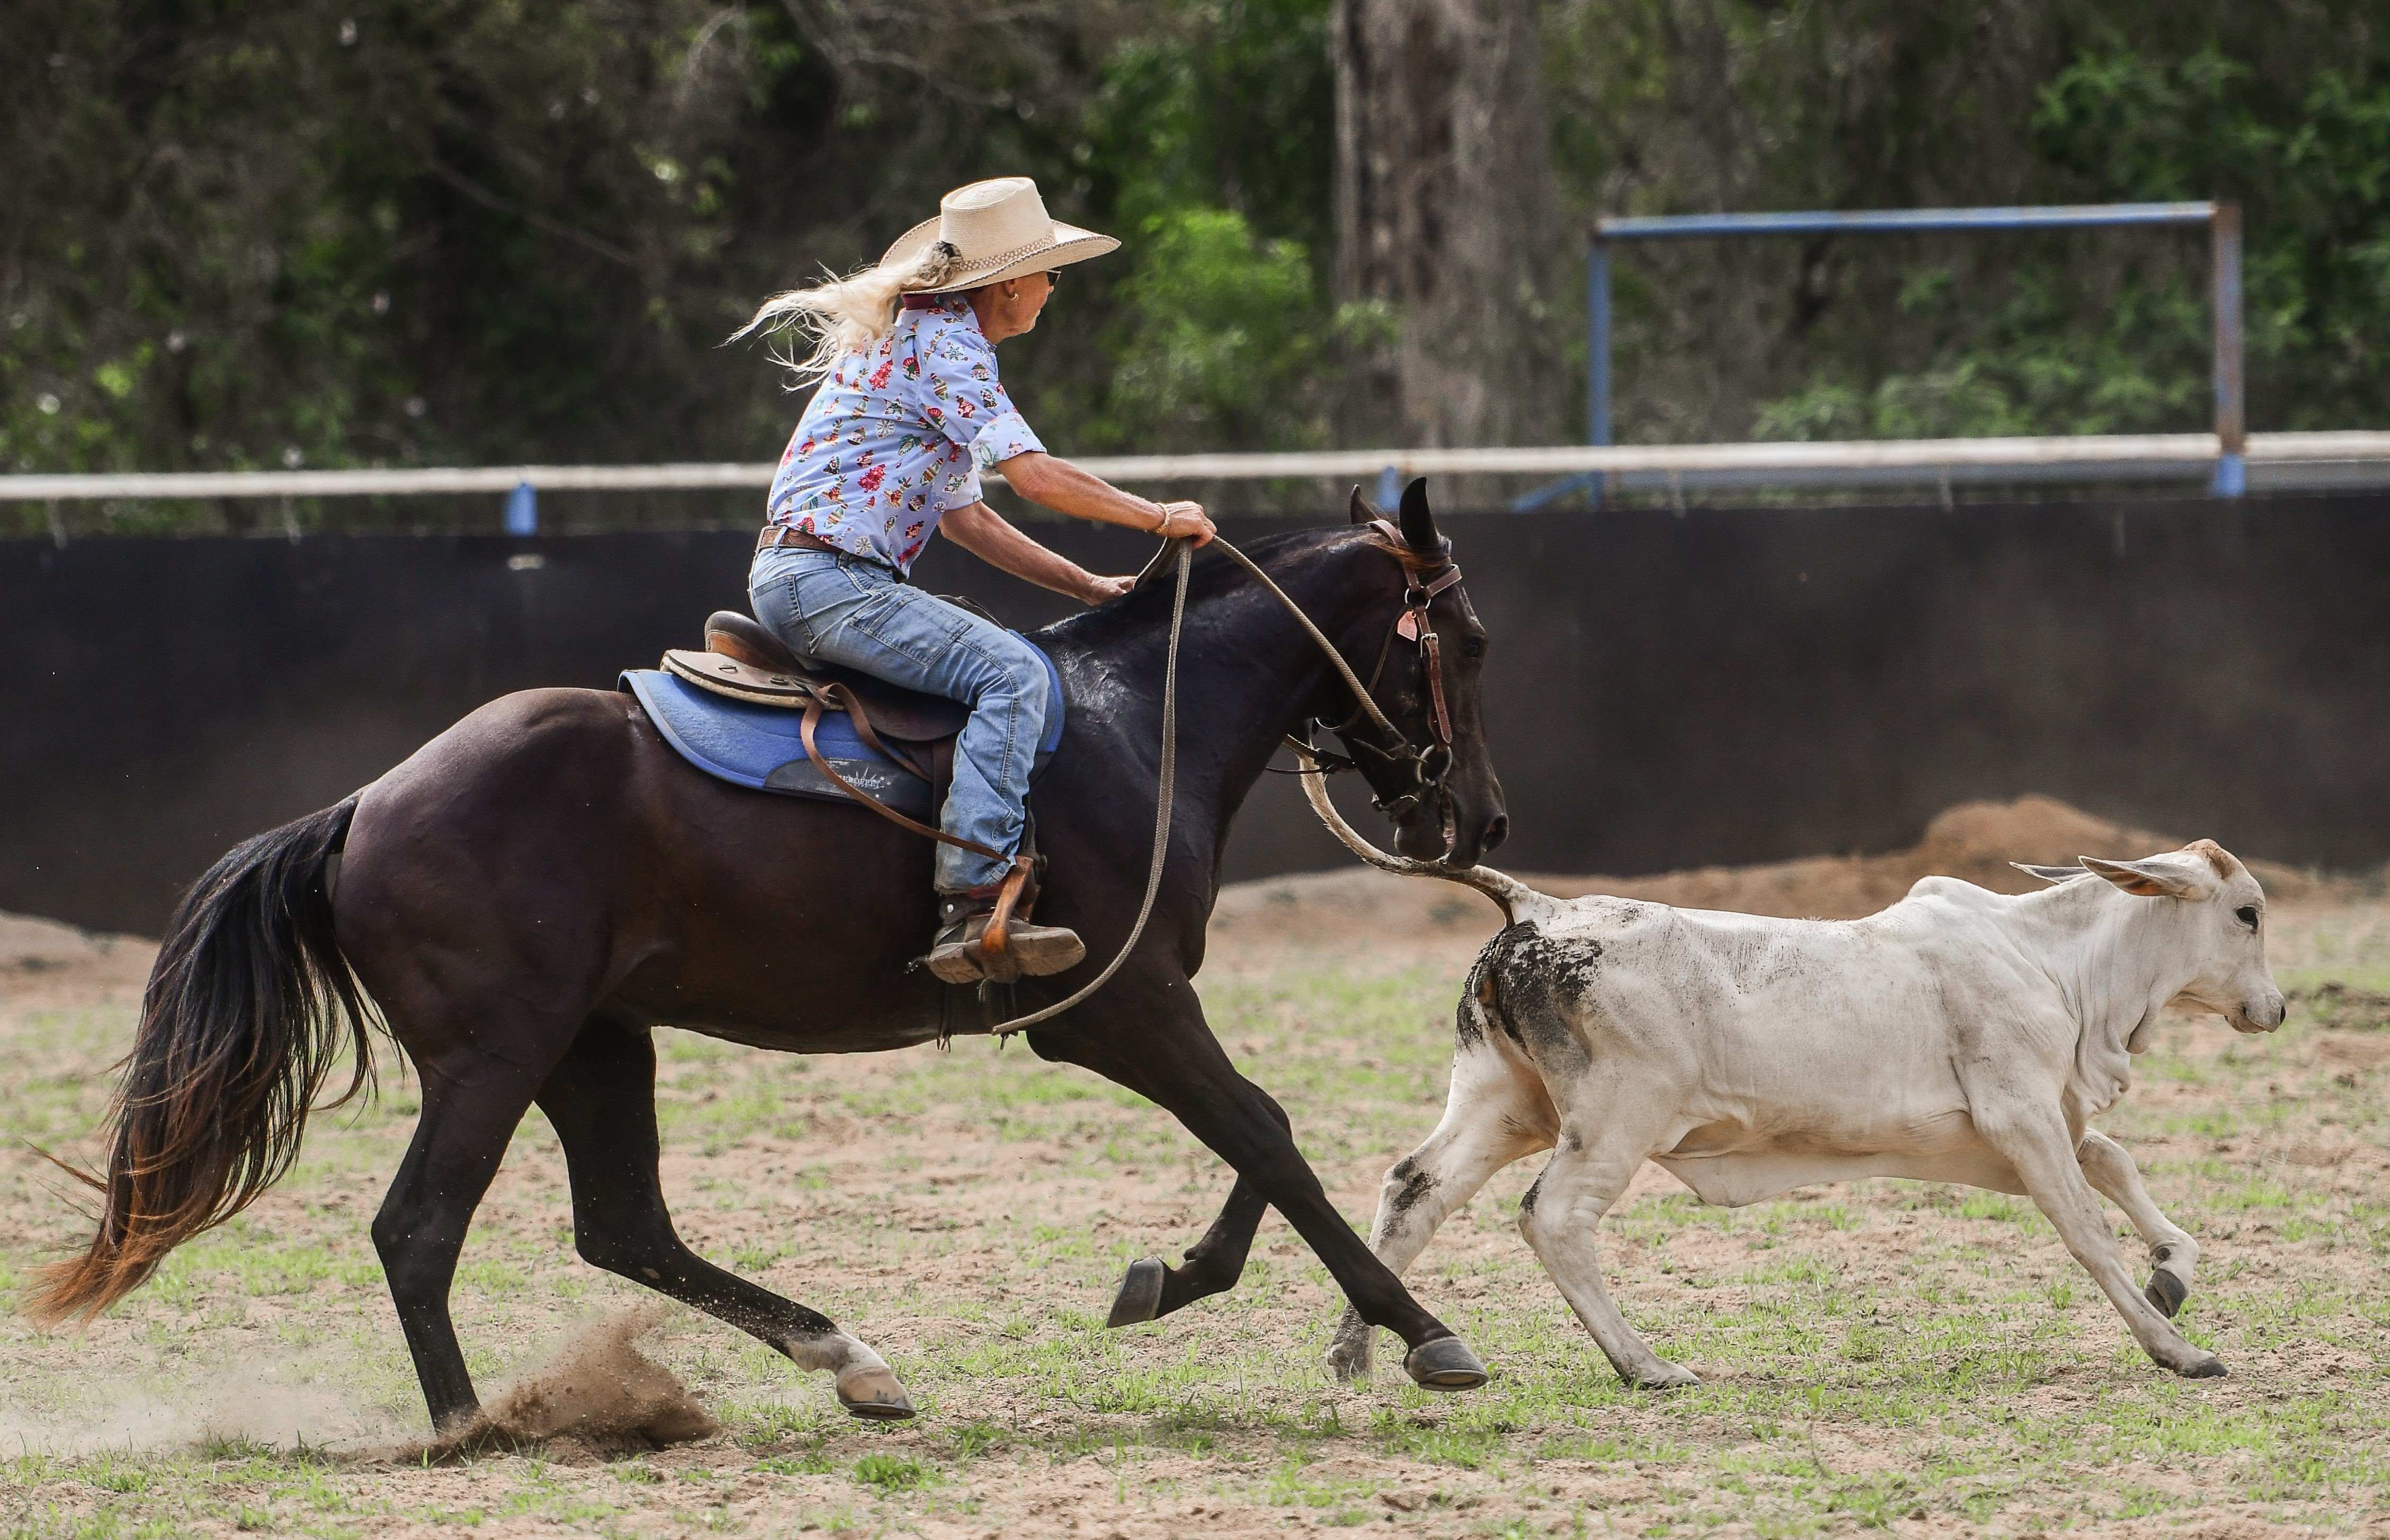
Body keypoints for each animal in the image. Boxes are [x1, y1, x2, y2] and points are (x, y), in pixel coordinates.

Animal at [32, 482, 1513, 1434]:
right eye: (1471, 638)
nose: (1480, 819)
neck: (1130, 727)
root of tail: (362, 807)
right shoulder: (1119, 1006)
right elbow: (1264, 1131)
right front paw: (1424, 1330)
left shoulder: (1137, 1008)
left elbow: (1260, 1135)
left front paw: (1172, 1277)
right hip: (494, 1053)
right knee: (419, 1227)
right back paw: (469, 1426)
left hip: (594, 1044)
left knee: (623, 1223)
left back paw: (849, 1360)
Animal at [1328, 841, 2286, 1387]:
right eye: (2246, 912)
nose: (2274, 1009)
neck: (2052, 959)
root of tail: (1540, 909)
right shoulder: (2022, 1118)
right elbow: (2088, 1229)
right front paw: (2176, 1347)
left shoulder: (2001, 1139)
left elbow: (2113, 1162)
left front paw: (2172, 1271)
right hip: (1615, 1119)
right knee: (1552, 1217)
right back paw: (1645, 1365)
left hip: (1503, 1105)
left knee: (1413, 1188)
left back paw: (1358, 1354)